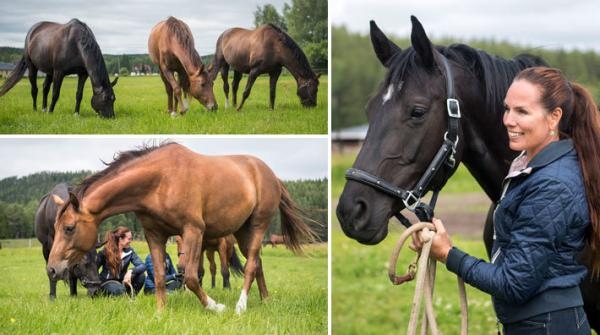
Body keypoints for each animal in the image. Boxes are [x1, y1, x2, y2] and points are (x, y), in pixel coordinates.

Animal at [45, 142, 318, 316]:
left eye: (69, 228)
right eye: (56, 227)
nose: (52, 269)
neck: (159, 181)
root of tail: (269, 173)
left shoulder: (193, 231)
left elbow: (191, 277)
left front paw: (216, 307)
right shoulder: (155, 235)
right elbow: (159, 276)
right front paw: (160, 313)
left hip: (259, 225)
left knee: (251, 264)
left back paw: (240, 306)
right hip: (243, 231)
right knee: (258, 263)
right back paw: (265, 300)